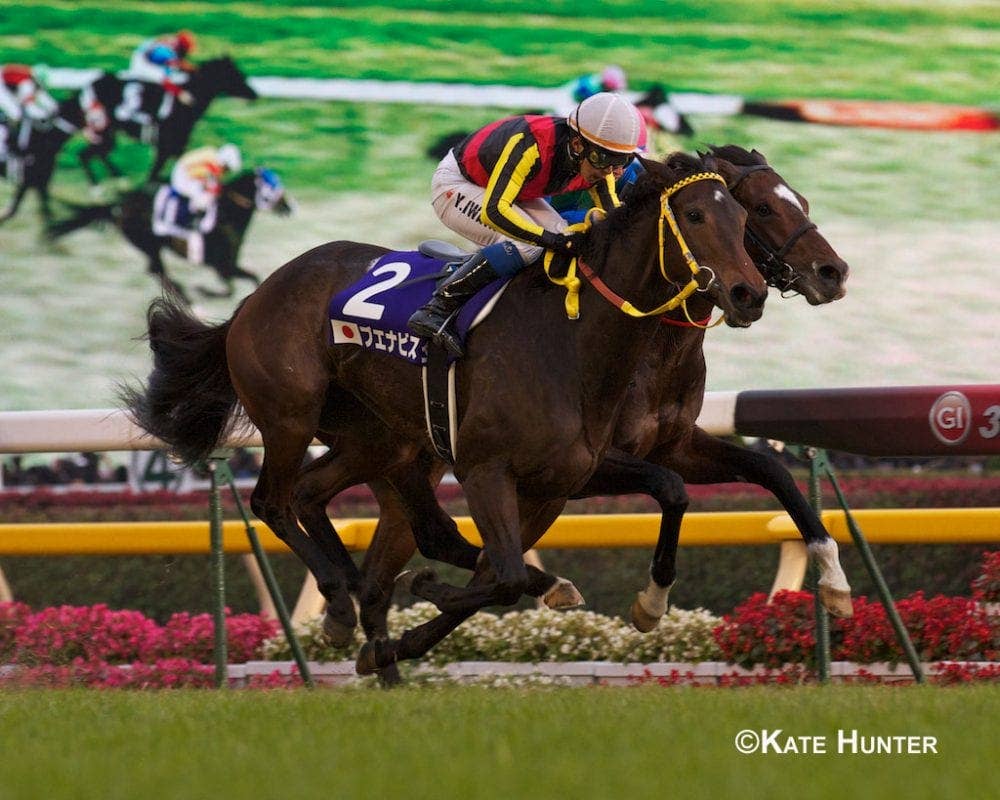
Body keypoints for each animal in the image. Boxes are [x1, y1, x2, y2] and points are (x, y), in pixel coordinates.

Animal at [45, 168, 292, 301]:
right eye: (272, 187)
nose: (289, 207)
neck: (226, 214)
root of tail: (121, 207)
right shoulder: (220, 265)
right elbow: (230, 289)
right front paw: (203, 291)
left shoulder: (228, 265)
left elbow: (253, 279)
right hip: (148, 243)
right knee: (156, 270)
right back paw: (185, 297)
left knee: (155, 270)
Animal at [77, 56, 257, 183]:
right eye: (236, 75)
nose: (254, 93)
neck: (185, 102)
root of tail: (88, 88)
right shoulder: (166, 147)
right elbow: (154, 174)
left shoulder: (176, 147)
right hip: (102, 129)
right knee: (87, 154)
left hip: (107, 133)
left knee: (94, 154)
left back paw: (117, 176)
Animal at [123, 152, 767, 672]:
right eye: (694, 216)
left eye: (743, 221)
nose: (750, 294)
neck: (571, 341)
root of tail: (255, 297)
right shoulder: (486, 469)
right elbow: (502, 575)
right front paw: (420, 599)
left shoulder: (563, 479)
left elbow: (653, 497)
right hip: (291, 417)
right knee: (272, 502)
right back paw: (343, 598)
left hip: (380, 439)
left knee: (336, 501)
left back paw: (353, 601)